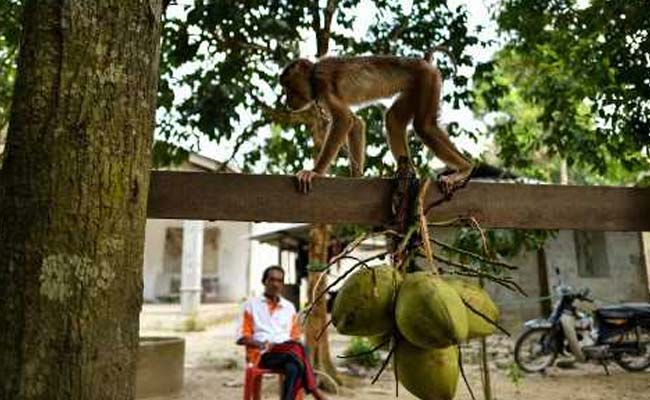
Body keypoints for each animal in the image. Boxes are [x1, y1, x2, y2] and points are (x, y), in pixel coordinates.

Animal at [278, 49, 470, 195]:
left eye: (288, 88)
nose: (287, 101)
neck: (312, 75)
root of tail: (423, 62)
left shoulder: (322, 82)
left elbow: (344, 119)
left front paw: (314, 172)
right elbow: (355, 123)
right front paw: (357, 177)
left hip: (427, 77)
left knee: (424, 127)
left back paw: (464, 170)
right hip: (417, 84)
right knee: (393, 120)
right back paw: (407, 173)